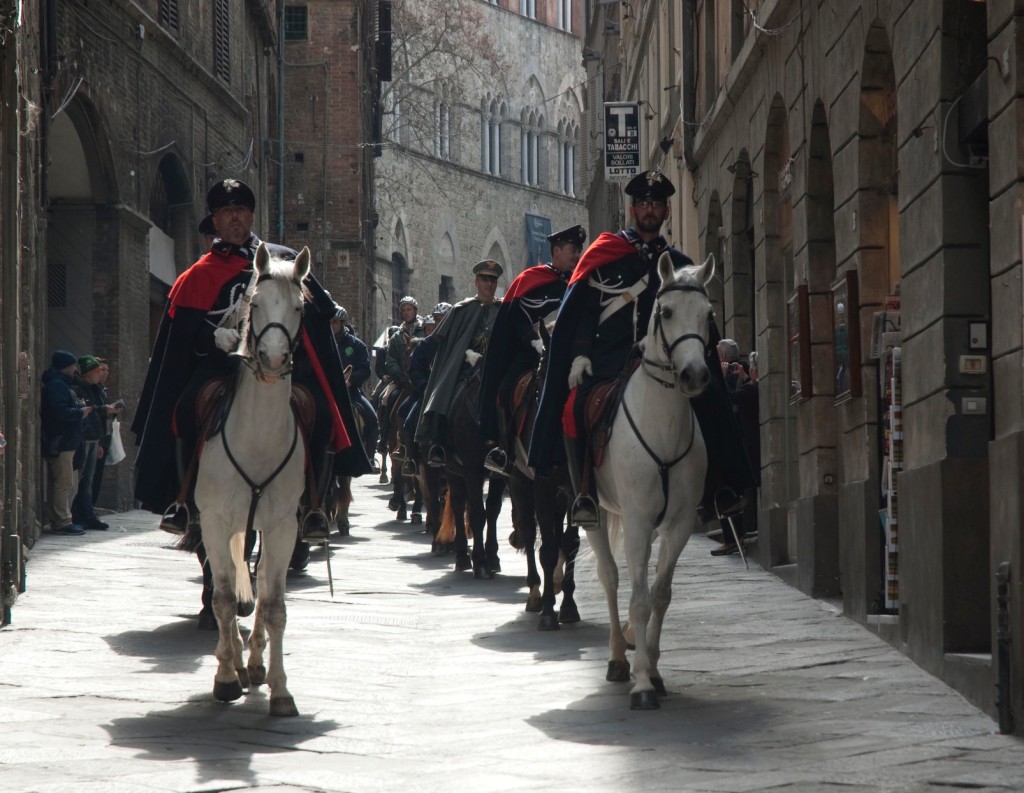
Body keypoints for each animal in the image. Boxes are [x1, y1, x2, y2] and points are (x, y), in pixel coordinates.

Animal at [589, 252, 716, 713]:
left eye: (708, 314)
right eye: (666, 312)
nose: (694, 374)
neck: (661, 425)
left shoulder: (678, 524)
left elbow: (660, 594)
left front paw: (657, 673)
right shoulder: (639, 521)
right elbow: (639, 599)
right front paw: (642, 682)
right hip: (593, 513)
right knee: (610, 579)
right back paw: (615, 656)